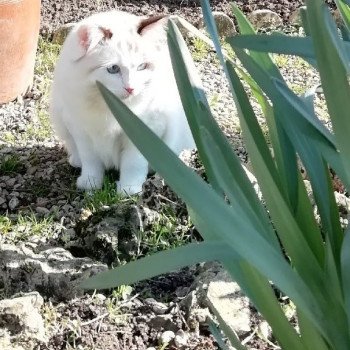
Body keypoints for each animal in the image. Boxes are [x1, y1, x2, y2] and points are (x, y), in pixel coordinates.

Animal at [50, 10, 196, 196]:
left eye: (142, 67)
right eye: (113, 69)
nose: (131, 88)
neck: (108, 109)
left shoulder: (144, 130)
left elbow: (133, 163)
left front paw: (128, 189)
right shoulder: (82, 132)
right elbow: (91, 162)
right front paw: (91, 183)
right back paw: (76, 161)